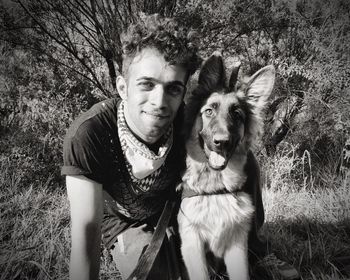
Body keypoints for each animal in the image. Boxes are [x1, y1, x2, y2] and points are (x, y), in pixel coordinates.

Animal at [179, 53, 274, 280]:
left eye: (237, 114)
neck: (215, 189)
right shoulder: (192, 243)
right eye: (209, 111)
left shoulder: (237, 244)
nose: (222, 142)